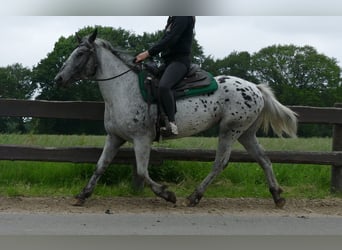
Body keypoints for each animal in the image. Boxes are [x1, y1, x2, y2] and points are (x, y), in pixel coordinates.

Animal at [54, 29, 296, 208]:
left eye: (80, 54)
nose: (58, 79)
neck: (123, 89)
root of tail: (255, 88)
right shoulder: (114, 137)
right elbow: (100, 166)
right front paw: (82, 195)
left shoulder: (141, 139)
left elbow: (142, 171)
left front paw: (167, 194)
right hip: (246, 133)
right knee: (263, 159)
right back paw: (277, 196)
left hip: (230, 130)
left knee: (220, 163)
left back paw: (194, 196)